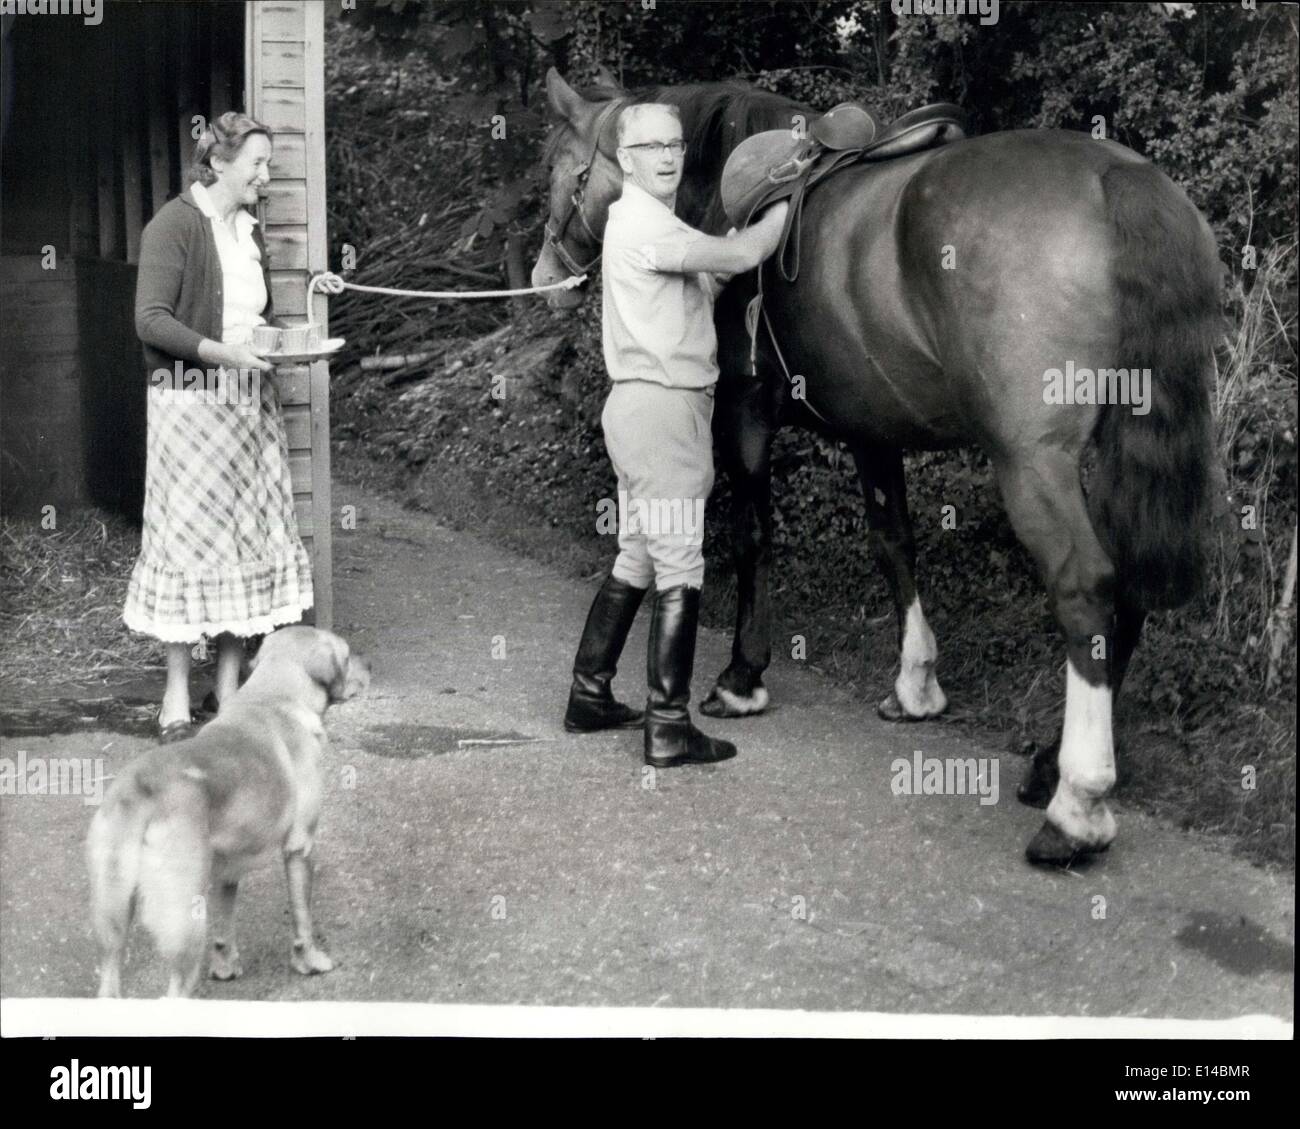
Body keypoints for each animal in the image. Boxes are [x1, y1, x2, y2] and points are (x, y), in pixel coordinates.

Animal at [85, 626, 371, 998]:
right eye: (348, 656)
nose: (370, 664)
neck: (273, 697)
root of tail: (141, 791)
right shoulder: (300, 848)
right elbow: (302, 918)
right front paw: (309, 961)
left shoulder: (227, 868)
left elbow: (225, 926)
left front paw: (225, 968)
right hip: (184, 923)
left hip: (112, 918)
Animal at [533, 68, 1222, 863]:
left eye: (560, 169)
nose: (543, 276)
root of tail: (1117, 178)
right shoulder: (872, 431)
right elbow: (894, 544)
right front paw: (915, 684)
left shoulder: (743, 412)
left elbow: (752, 538)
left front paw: (741, 678)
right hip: (1117, 456)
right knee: (1129, 589)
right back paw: (1050, 765)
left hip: (1034, 463)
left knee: (1086, 586)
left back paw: (1075, 806)